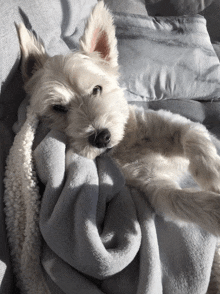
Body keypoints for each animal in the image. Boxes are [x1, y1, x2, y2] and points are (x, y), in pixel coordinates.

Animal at [16, 0, 220, 237]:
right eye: (58, 108)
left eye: (97, 89)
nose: (101, 137)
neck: (127, 142)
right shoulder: (152, 184)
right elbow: (183, 201)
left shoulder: (173, 122)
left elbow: (193, 134)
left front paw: (212, 174)